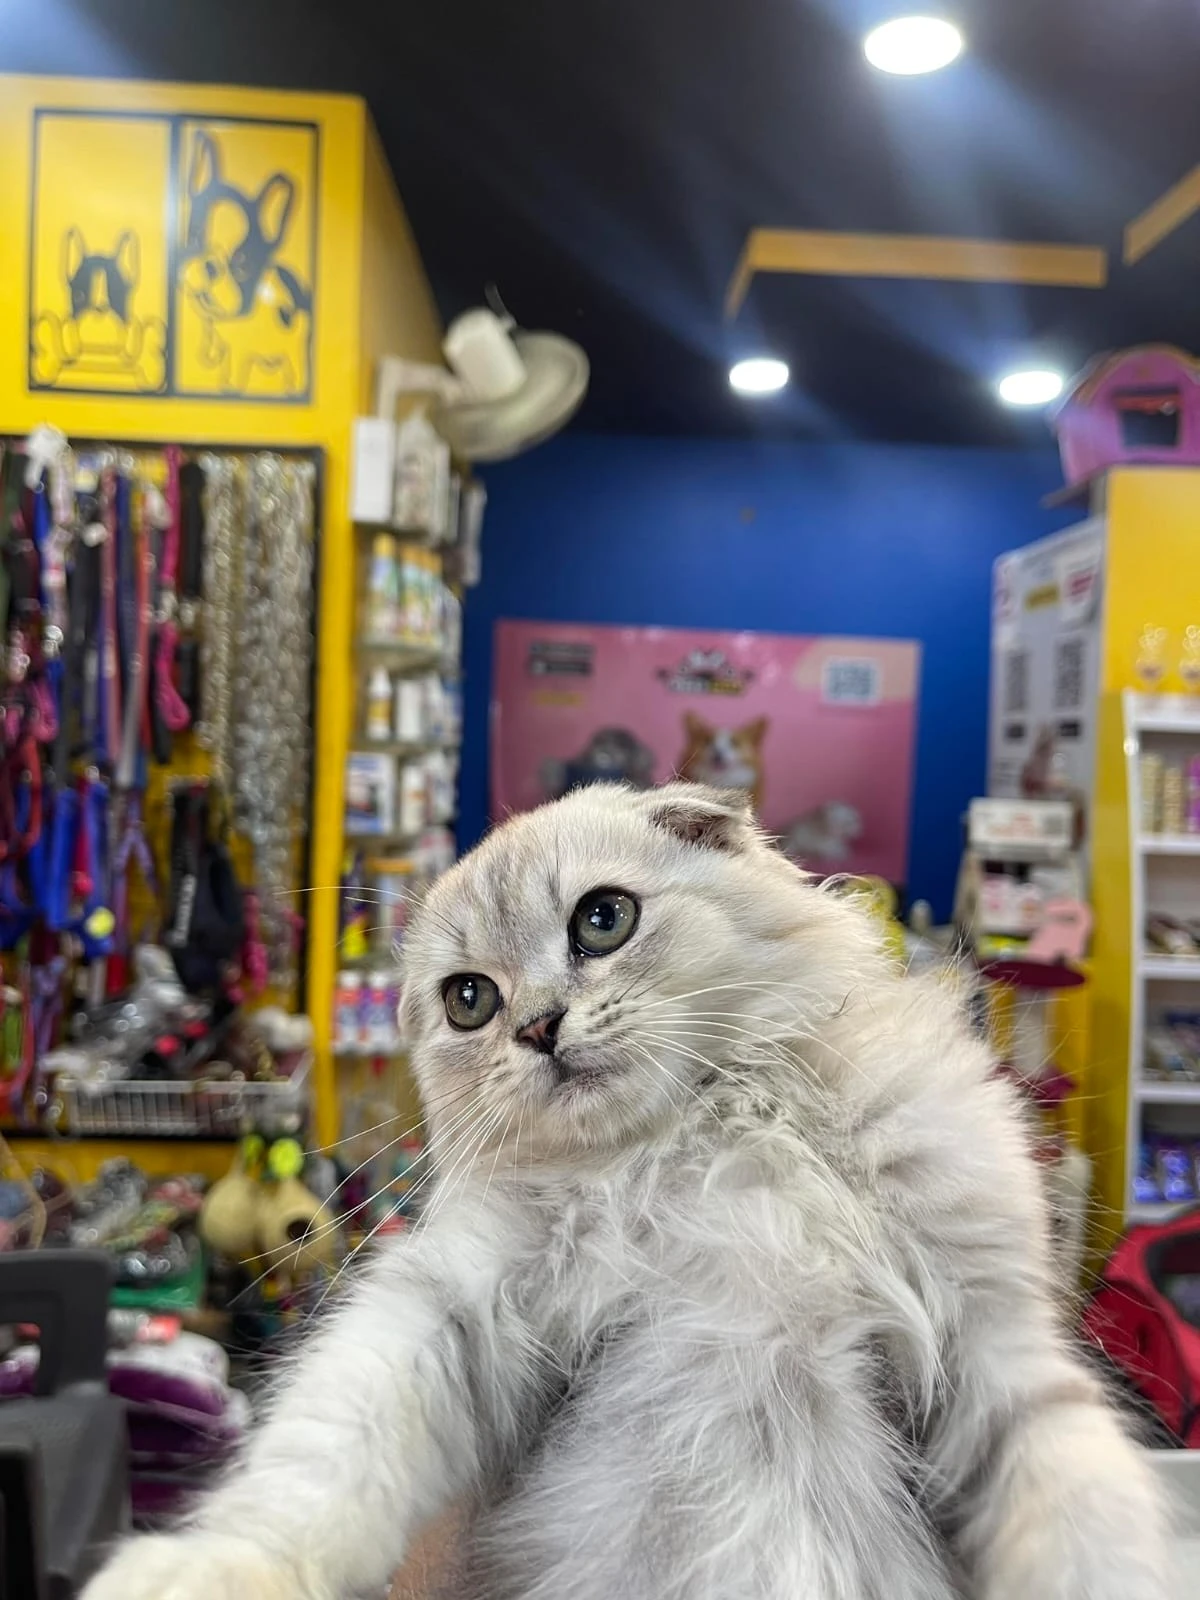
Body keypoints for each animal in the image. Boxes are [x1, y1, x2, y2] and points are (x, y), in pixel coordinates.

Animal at [89, 784, 1171, 1600]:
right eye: (470, 1000)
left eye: (602, 919)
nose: (538, 1027)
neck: (701, 1136)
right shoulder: (451, 1303)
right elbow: (314, 1465)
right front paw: (207, 1568)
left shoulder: (995, 1346)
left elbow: (1090, 1521)